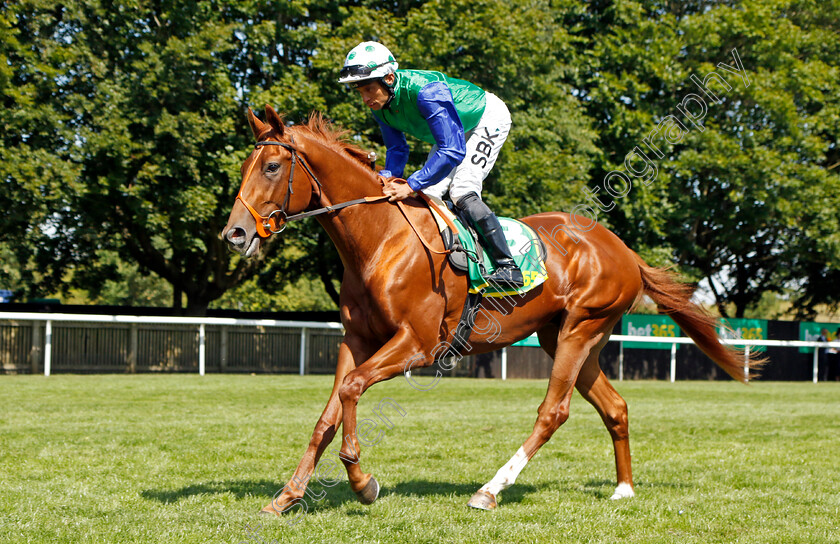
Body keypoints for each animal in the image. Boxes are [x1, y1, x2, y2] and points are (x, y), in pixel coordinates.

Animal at [223, 105, 760, 516]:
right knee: (615, 407)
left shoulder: (417, 345)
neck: (380, 241)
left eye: (272, 167)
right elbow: (328, 414)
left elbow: (353, 390)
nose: (235, 234)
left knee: (553, 411)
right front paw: (287, 496)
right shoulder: (356, 340)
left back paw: (490, 489)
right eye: (247, 166)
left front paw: (362, 481)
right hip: (570, 338)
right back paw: (623, 489)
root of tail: (625, 251)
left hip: (581, 329)